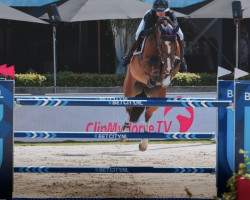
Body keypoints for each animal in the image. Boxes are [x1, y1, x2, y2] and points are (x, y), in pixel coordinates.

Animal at [122, 18, 181, 152]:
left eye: (174, 45)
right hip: (130, 88)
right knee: (129, 107)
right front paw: (155, 75)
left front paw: (164, 78)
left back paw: (143, 143)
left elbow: (175, 64)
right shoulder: (144, 62)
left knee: (148, 112)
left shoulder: (175, 62)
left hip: (158, 97)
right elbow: (152, 61)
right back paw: (125, 132)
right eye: (161, 43)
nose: (168, 67)